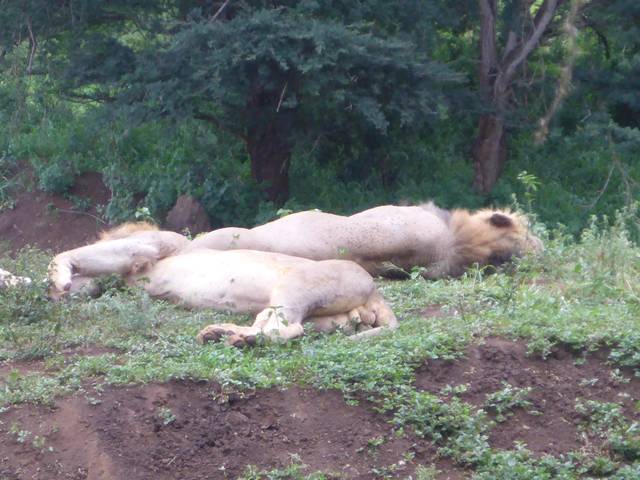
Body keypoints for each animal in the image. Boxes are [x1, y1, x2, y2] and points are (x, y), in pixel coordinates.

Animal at [48, 224, 398, 347]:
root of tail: (374, 288)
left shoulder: (148, 247)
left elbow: (75, 254)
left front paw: (57, 279)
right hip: (329, 317)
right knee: (284, 327)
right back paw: (223, 335)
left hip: (298, 283)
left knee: (285, 328)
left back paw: (232, 337)